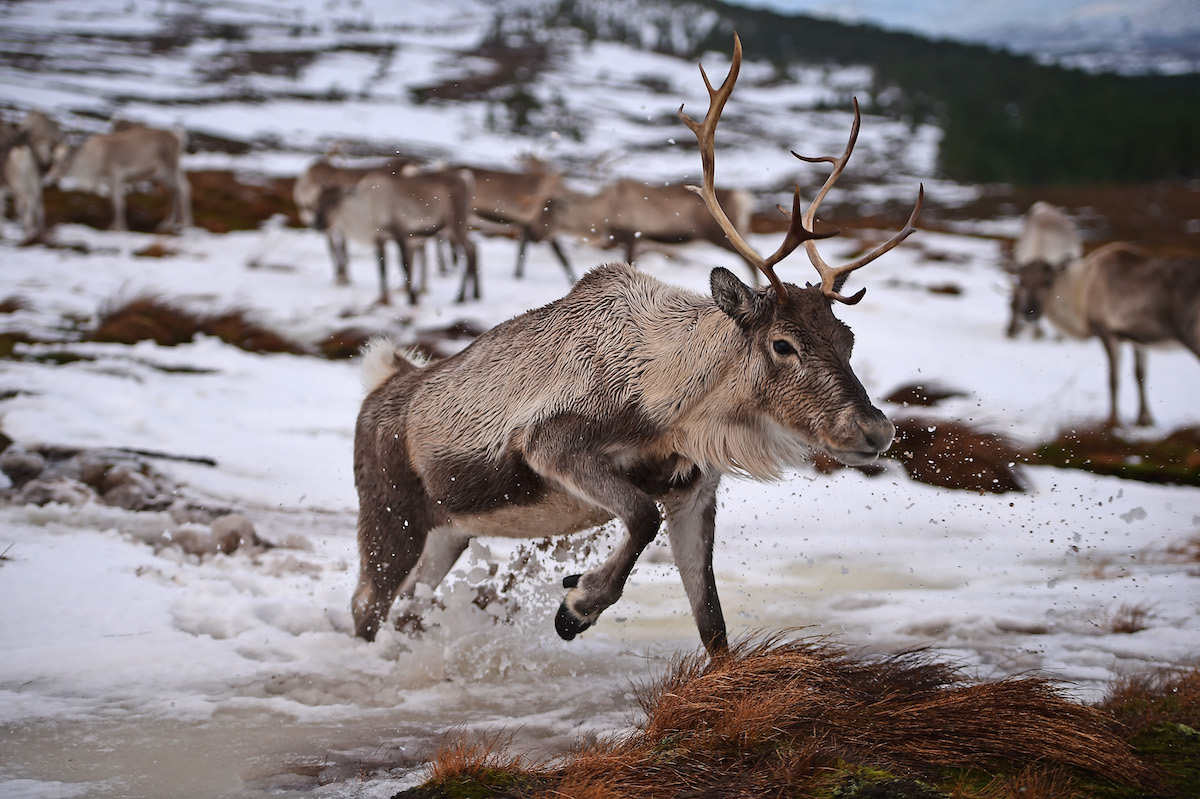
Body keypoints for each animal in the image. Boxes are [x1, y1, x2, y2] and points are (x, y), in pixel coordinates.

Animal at [47, 123, 191, 232]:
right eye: (54, 158)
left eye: (66, 159)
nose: (52, 177)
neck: (94, 160)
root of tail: (178, 138)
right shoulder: (108, 182)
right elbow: (112, 202)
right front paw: (113, 225)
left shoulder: (116, 176)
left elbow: (118, 203)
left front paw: (120, 228)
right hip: (163, 174)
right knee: (174, 192)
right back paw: (167, 224)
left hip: (172, 169)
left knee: (184, 188)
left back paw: (184, 224)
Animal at [313, 166, 479, 306]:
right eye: (318, 199)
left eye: (335, 200)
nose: (318, 223)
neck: (367, 213)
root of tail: (466, 178)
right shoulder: (380, 239)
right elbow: (382, 269)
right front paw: (383, 299)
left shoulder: (401, 233)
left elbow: (405, 266)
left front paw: (412, 298)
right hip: (452, 229)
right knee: (472, 248)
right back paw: (473, 295)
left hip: (456, 224)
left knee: (469, 250)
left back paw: (461, 297)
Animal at [348, 34, 923, 657]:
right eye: (783, 344)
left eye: (847, 337)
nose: (875, 430)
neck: (678, 411)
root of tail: (382, 382)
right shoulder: (554, 446)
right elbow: (641, 518)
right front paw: (576, 606)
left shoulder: (694, 492)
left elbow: (712, 621)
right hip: (390, 517)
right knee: (365, 605)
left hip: (449, 531)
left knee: (411, 603)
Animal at [1012, 240, 1200, 427]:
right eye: (1021, 281)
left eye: (1047, 280)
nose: (1029, 312)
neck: (1080, 296)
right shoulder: (1138, 338)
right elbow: (1140, 376)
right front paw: (1144, 420)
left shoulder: (1106, 331)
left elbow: (1113, 380)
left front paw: (1113, 420)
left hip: (1192, 336)